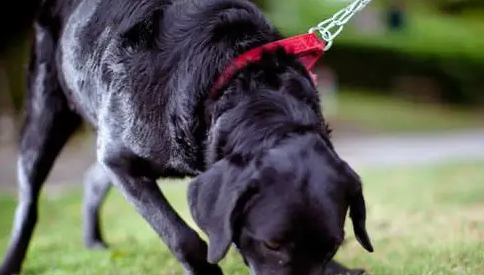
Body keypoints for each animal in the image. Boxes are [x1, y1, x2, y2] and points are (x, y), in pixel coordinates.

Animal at [0, 0, 374, 275]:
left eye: (333, 246)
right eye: (272, 245)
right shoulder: (120, 156)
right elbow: (182, 236)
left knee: (93, 177)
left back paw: (94, 242)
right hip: (47, 109)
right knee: (29, 202)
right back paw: (12, 261)